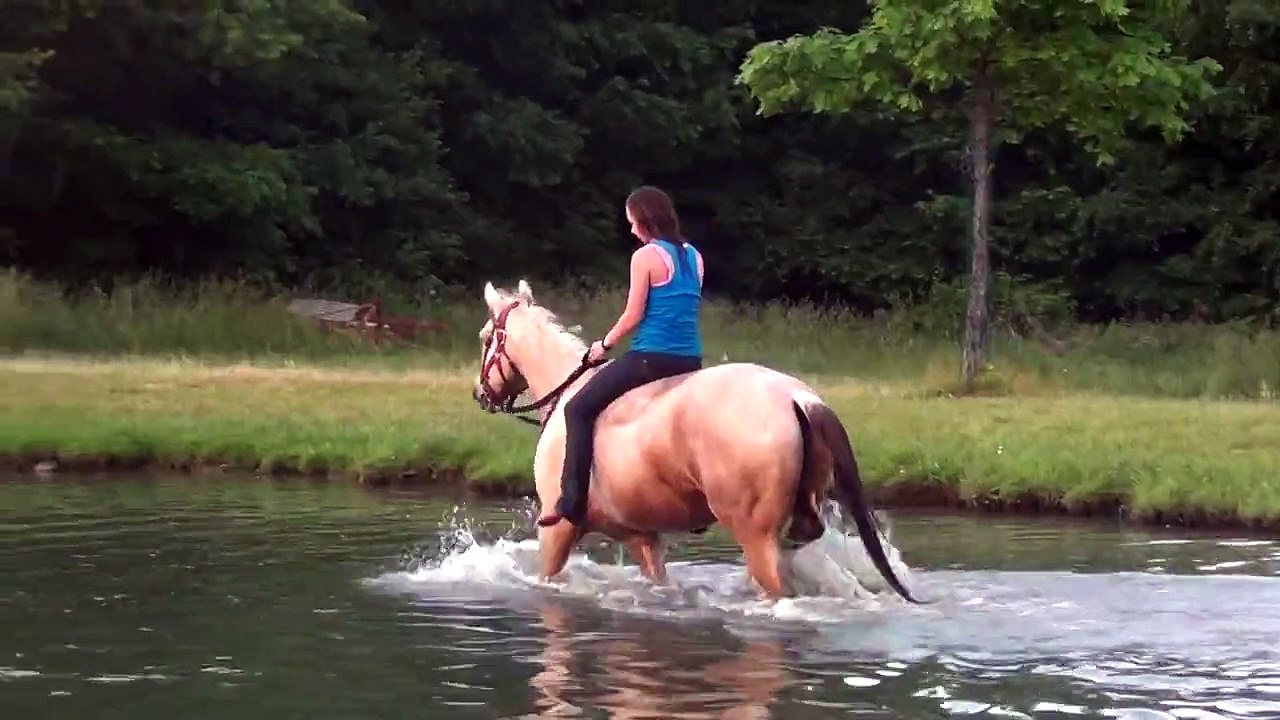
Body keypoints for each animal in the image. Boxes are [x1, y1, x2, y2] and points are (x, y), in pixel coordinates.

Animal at [472, 280, 921, 604]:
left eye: (484, 337)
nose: (480, 395)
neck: (567, 390)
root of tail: (798, 397)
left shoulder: (558, 532)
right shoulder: (643, 537)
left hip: (756, 536)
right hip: (795, 530)